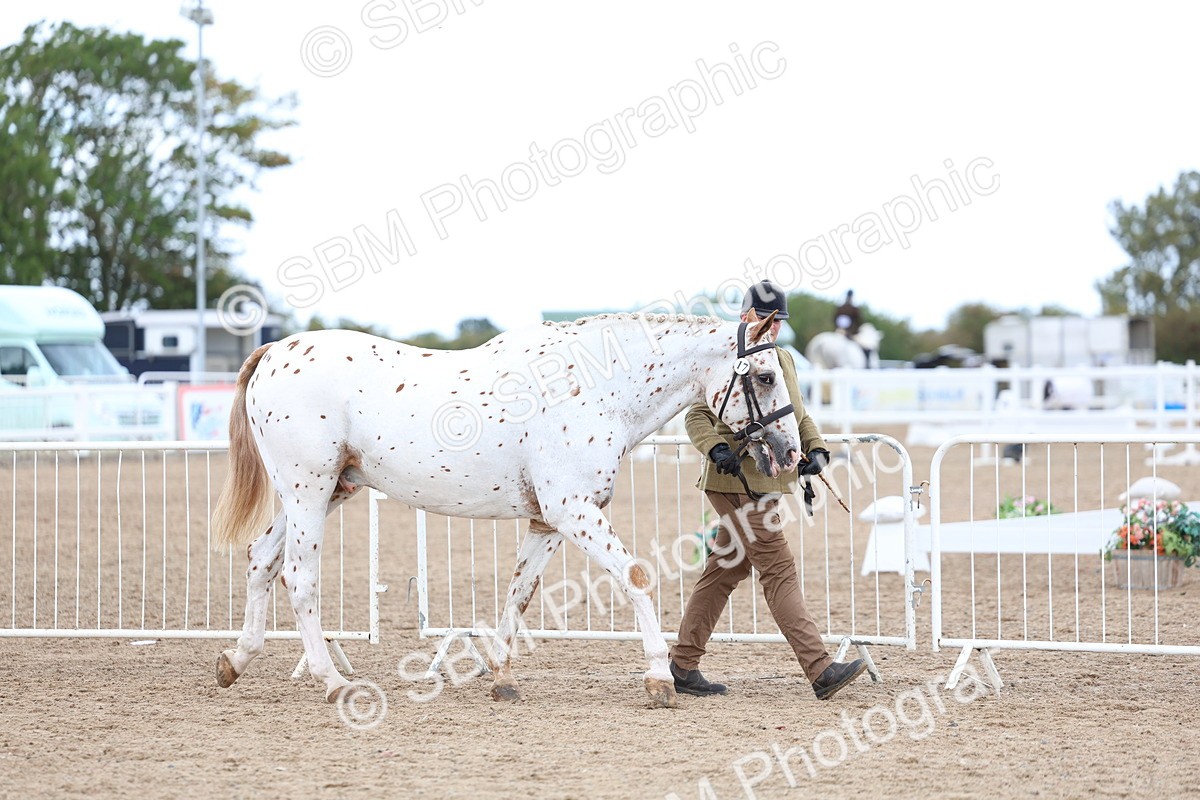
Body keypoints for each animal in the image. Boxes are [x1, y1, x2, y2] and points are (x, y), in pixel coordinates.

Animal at [210, 311, 802, 708]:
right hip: (308, 491)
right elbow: (635, 576)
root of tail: (275, 351)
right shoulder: (574, 512)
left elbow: (521, 592)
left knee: (261, 559)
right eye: (766, 376)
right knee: (298, 576)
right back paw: (332, 682)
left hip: (324, 491)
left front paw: (501, 676)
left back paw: (235, 661)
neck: (595, 386)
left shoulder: (550, 521)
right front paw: (659, 679)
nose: (791, 454)